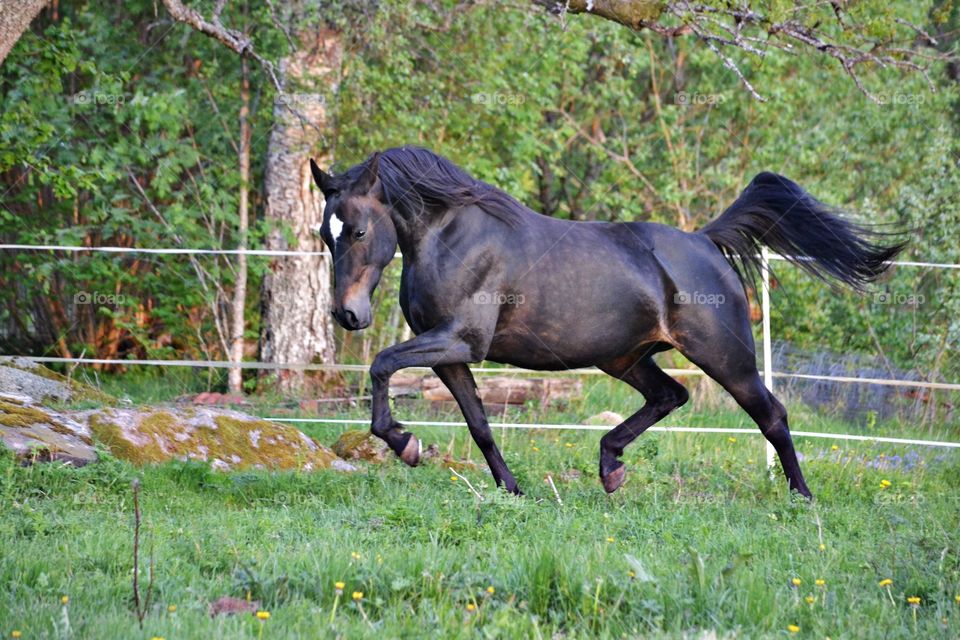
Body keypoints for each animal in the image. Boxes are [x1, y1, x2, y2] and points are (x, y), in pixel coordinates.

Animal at [308, 148, 900, 498]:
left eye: (358, 231)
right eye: (323, 233)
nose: (348, 315)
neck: (452, 237)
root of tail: (705, 241)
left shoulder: (460, 341)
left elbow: (382, 365)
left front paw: (403, 443)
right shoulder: (451, 354)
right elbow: (478, 424)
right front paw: (510, 489)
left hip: (726, 358)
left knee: (771, 414)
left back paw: (802, 497)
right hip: (624, 358)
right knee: (670, 396)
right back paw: (610, 468)